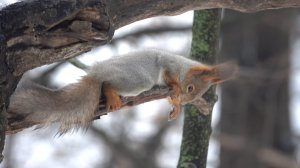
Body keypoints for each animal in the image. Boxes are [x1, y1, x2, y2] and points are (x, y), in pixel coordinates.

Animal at [7, 49, 238, 133]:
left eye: (192, 97)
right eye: (190, 88)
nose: (182, 98)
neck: (183, 66)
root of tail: (95, 73)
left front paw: (175, 107)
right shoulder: (168, 63)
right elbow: (169, 76)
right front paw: (174, 89)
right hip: (138, 79)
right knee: (107, 83)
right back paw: (111, 94)